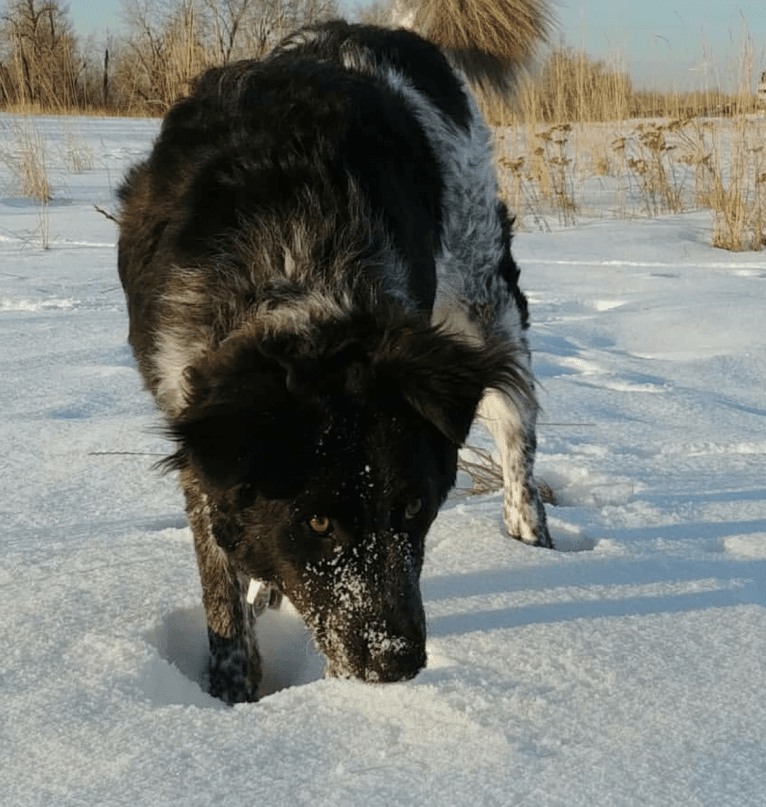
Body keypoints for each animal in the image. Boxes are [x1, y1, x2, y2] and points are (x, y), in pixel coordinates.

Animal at [117, 0, 552, 704]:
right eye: (317, 525)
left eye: (414, 507)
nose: (396, 664)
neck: (291, 262)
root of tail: (381, 30)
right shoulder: (186, 400)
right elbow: (221, 579)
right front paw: (232, 686)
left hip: (485, 295)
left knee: (517, 433)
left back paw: (531, 533)